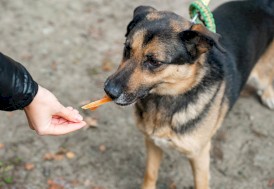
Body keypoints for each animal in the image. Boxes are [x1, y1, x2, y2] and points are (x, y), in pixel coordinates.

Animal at [103, 0, 274, 188]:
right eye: (127, 49)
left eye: (154, 61)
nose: (108, 91)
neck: (165, 99)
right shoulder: (152, 143)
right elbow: (150, 173)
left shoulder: (200, 156)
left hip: (262, 75)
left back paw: (268, 95)